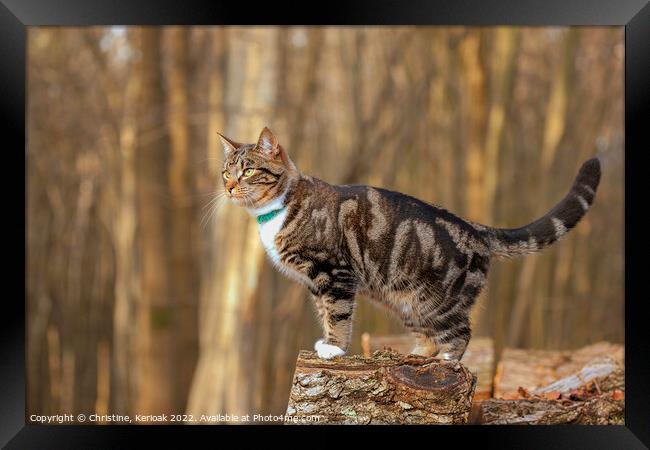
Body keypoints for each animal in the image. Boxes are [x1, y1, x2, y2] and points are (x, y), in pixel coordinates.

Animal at [219, 128, 604, 360]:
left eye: (249, 170)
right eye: (225, 171)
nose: (229, 187)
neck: (277, 210)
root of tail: (476, 228)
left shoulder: (335, 273)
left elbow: (339, 315)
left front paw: (334, 348)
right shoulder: (316, 284)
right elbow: (325, 313)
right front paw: (327, 342)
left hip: (439, 302)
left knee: (460, 334)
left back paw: (446, 364)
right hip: (407, 303)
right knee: (430, 337)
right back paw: (414, 358)